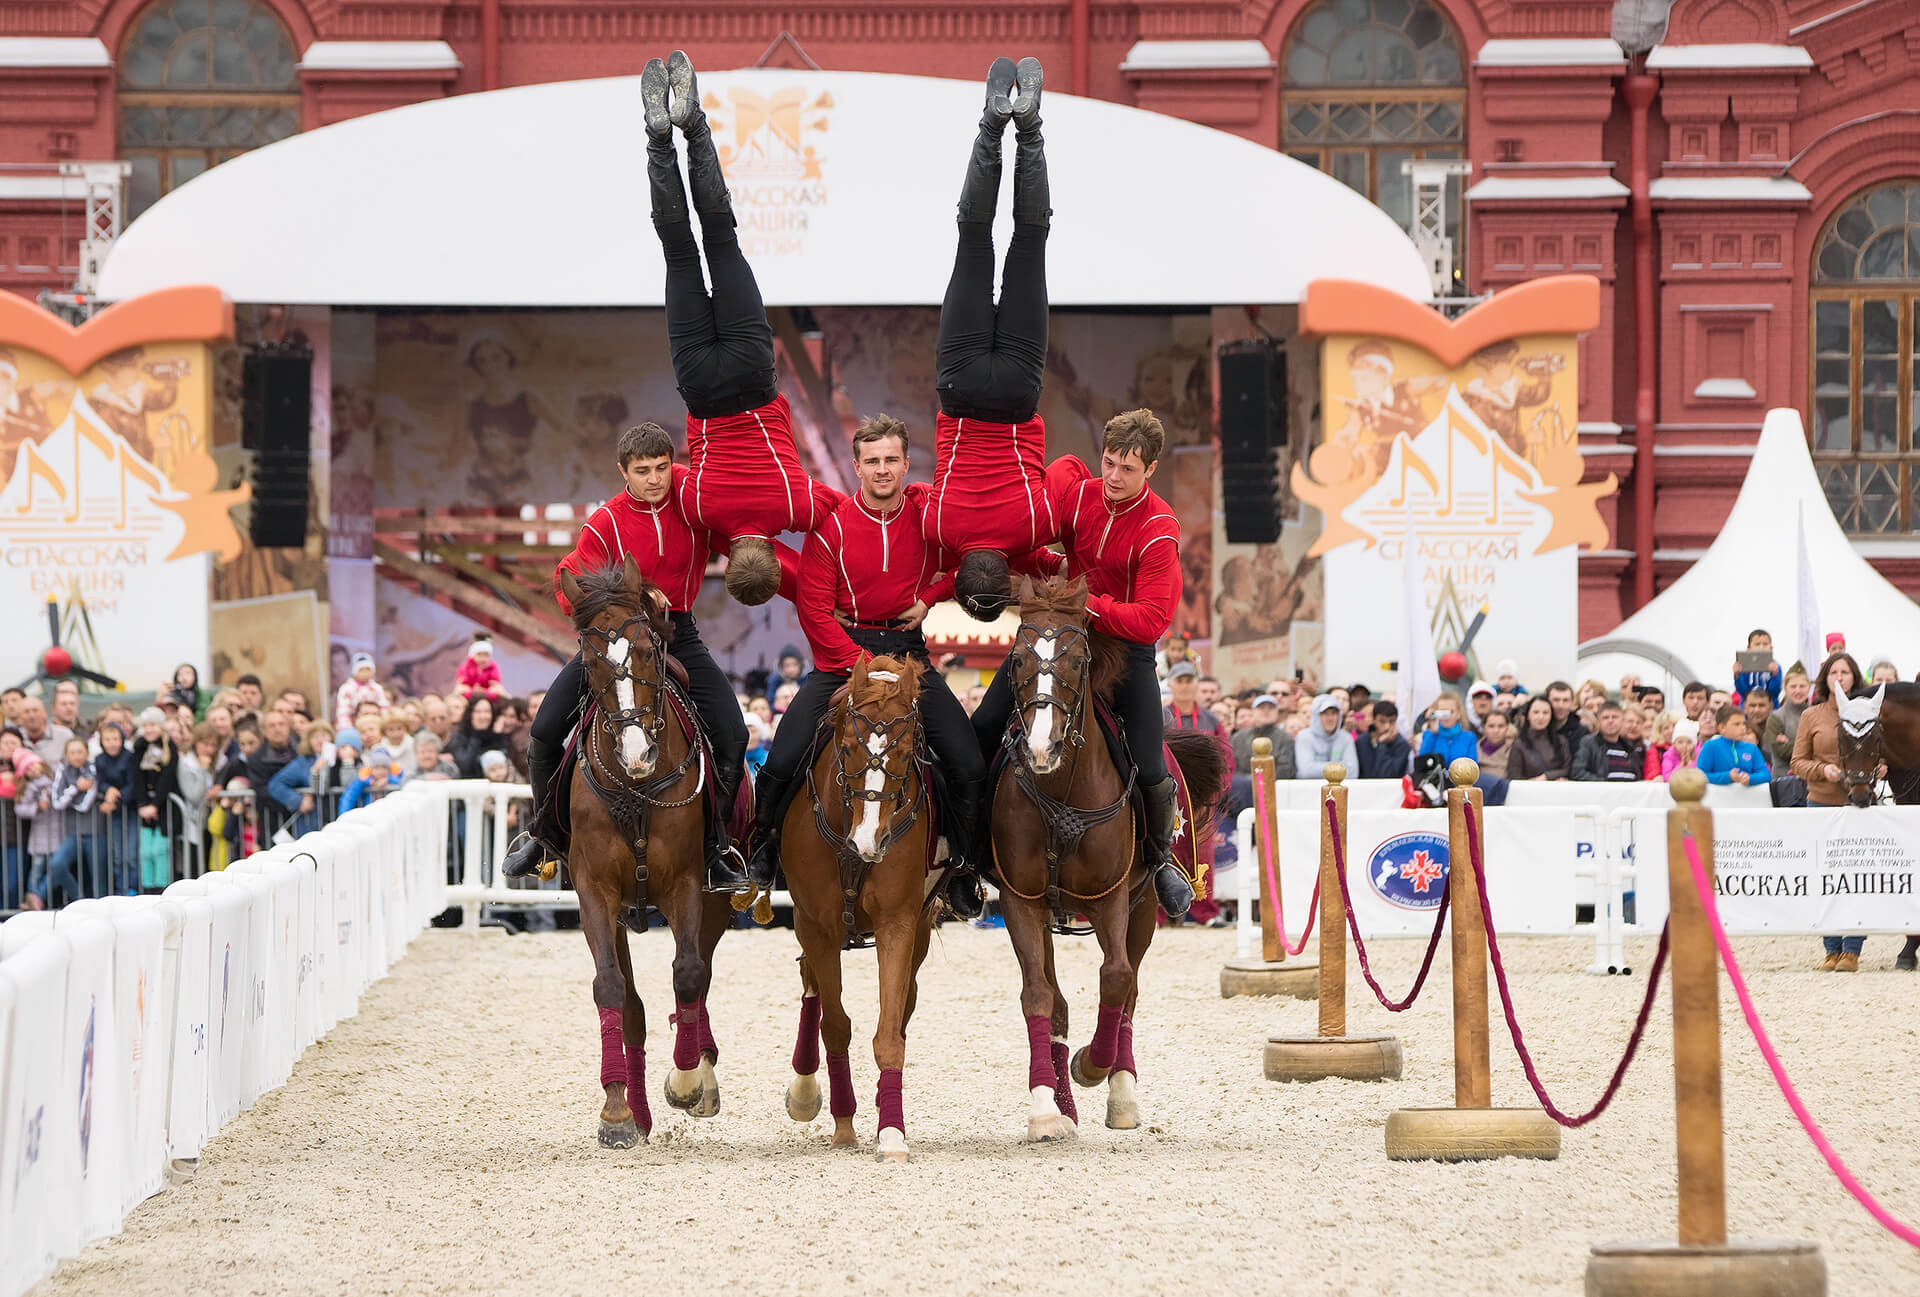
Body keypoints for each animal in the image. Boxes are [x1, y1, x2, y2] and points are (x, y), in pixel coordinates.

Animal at [560, 556, 733, 1143]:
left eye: (645, 650)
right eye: (589, 661)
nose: (638, 753)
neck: (636, 788)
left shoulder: (688, 884)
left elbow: (689, 973)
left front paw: (686, 1081)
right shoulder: (595, 892)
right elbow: (611, 989)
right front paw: (616, 1113)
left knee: (700, 976)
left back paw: (701, 1071)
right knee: (632, 1003)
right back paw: (634, 1110)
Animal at [775, 652, 933, 1158]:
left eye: (905, 753)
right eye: (846, 749)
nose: (868, 842)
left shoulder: (899, 923)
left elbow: (889, 1032)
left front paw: (892, 1133)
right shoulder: (817, 926)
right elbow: (836, 1026)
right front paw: (844, 1124)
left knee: (904, 1006)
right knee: (812, 988)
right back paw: (805, 1091)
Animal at [990, 575, 1228, 1135]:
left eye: (1080, 660)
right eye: (1016, 659)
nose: (1041, 747)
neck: (1062, 788)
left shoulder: (1113, 898)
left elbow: (1116, 979)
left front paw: (1092, 1067)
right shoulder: (1021, 900)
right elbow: (1039, 996)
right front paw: (1044, 1108)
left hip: (1144, 907)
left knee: (1130, 992)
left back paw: (1121, 1093)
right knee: (1058, 1000)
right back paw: (1064, 1103)